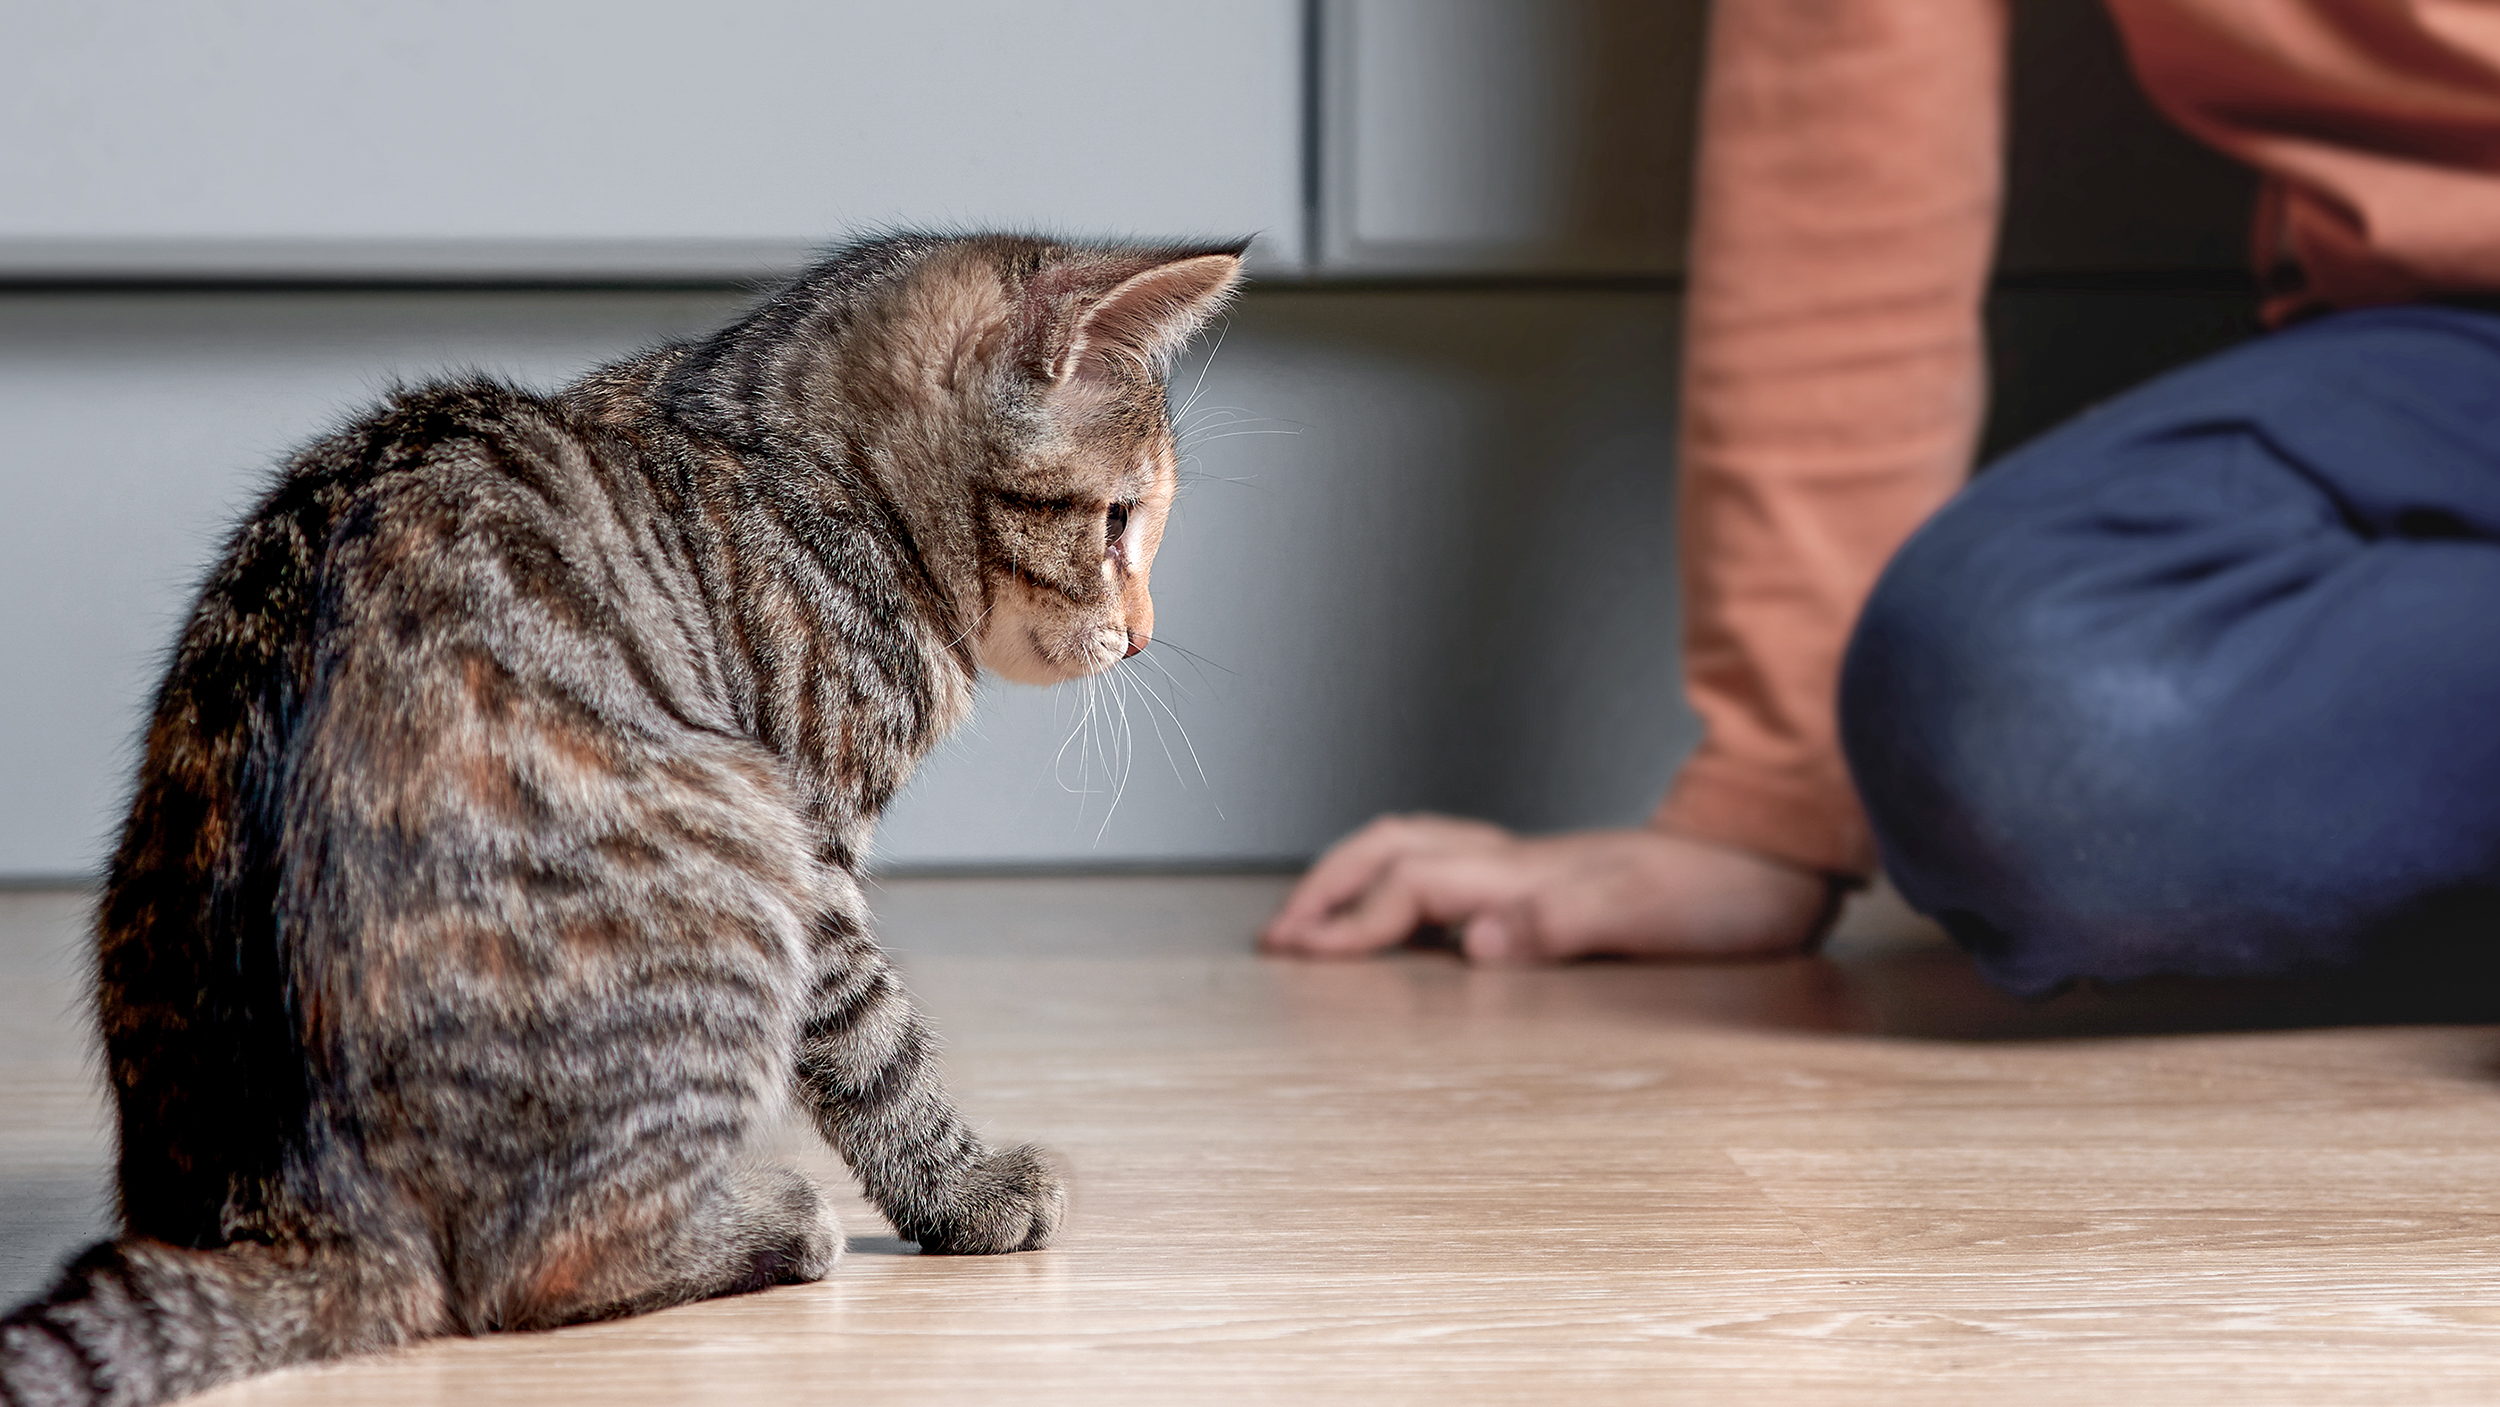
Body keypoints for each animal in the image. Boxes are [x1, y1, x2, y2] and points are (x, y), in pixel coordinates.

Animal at [0, 233, 1250, 1407]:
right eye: (1119, 519)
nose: (1142, 636)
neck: (804, 465)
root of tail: (295, 1206)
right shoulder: (812, 849)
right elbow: (877, 1049)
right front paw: (967, 1189)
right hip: (737, 848)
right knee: (528, 1273)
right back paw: (772, 1221)